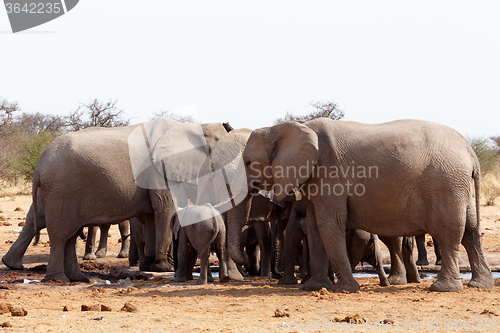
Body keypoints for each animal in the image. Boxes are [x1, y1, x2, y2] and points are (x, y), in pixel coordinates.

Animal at [32, 118, 231, 282]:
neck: (196, 127)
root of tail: (39, 165)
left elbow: (151, 216)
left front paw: (149, 266)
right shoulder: (160, 169)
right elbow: (164, 207)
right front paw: (164, 267)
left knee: (70, 236)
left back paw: (78, 279)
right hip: (61, 190)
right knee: (60, 235)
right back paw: (59, 279)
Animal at [234, 117, 492, 290]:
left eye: (247, 162)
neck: (290, 127)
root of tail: (471, 151)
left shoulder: (329, 173)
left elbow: (330, 223)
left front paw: (345, 289)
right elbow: (316, 226)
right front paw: (315, 287)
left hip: (446, 183)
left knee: (448, 232)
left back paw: (443, 288)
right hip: (457, 185)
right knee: (470, 231)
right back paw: (480, 285)